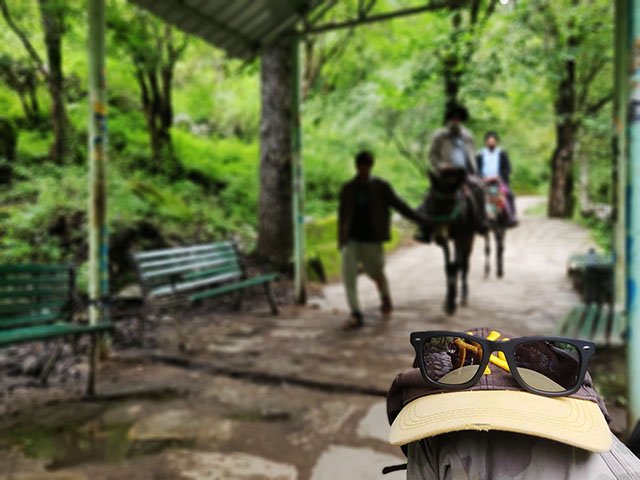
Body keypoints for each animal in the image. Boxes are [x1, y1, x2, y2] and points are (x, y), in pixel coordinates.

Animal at [422, 166, 478, 316]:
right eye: (432, 201)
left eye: (452, 204)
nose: (438, 237)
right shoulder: (445, 241)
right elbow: (448, 267)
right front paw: (448, 301)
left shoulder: (461, 237)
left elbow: (456, 265)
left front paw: (452, 303)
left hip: (469, 237)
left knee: (465, 263)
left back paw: (463, 295)